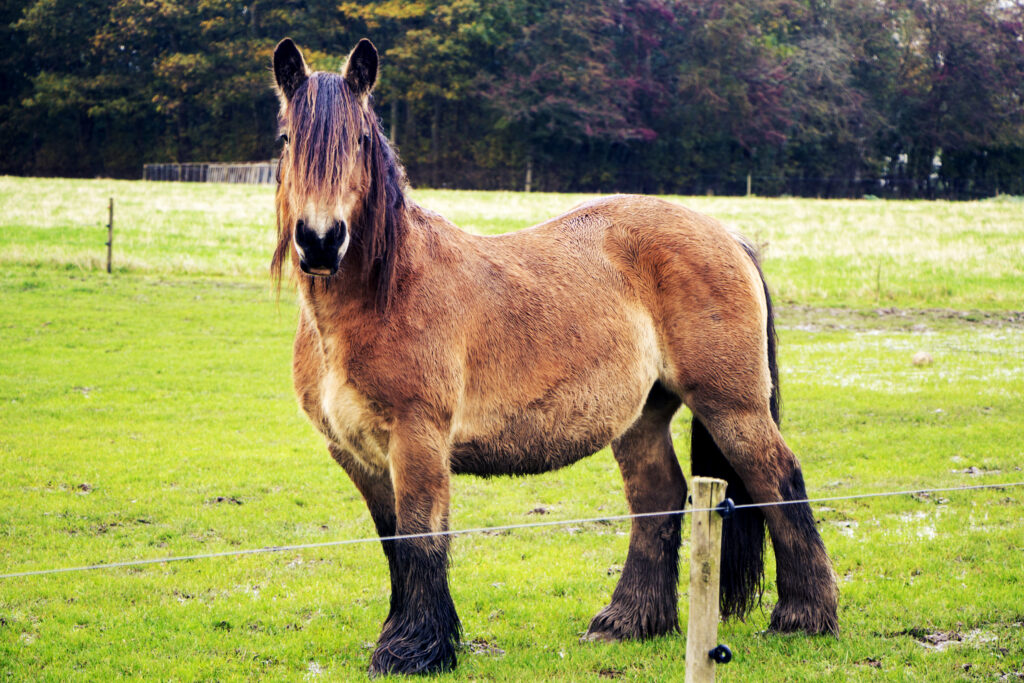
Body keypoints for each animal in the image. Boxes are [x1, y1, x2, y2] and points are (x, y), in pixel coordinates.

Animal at [272, 37, 839, 671]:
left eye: (360, 141)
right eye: (287, 139)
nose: (320, 241)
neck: (384, 293)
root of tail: (729, 237)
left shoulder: (417, 440)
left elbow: (421, 538)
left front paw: (414, 649)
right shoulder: (357, 454)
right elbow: (394, 542)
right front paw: (411, 639)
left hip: (732, 406)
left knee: (778, 479)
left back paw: (803, 617)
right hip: (643, 416)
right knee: (657, 497)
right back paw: (628, 621)